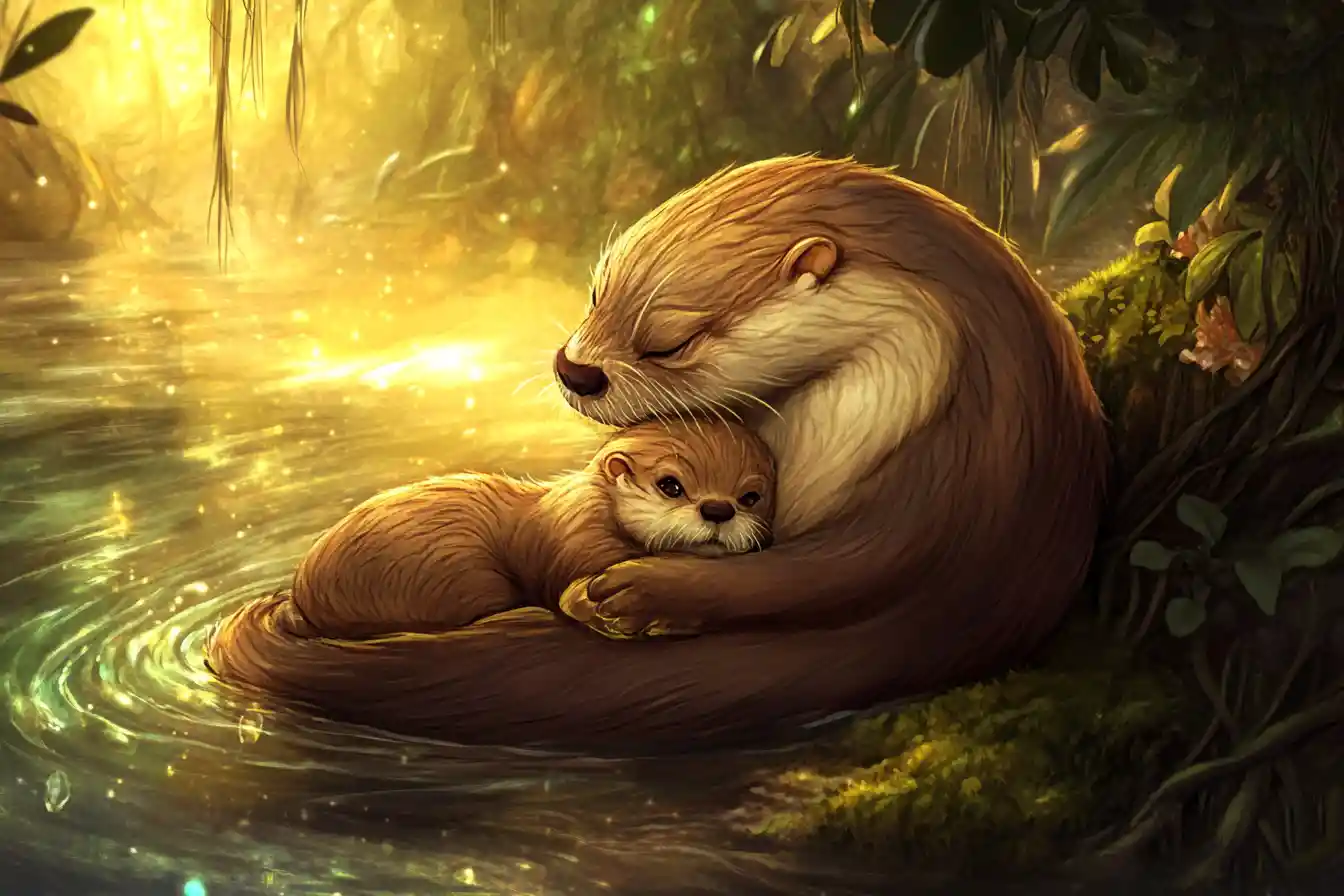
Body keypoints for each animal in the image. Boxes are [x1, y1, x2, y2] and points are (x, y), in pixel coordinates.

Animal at [287, 419, 775, 640]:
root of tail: (308, 597)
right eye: (670, 485)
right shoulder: (575, 544)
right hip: (457, 573)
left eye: (751, 496)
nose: (718, 509)